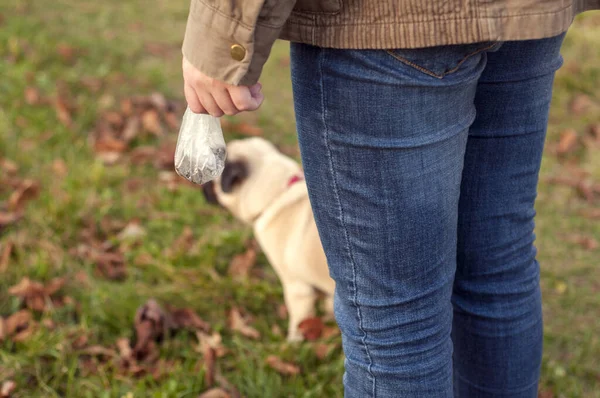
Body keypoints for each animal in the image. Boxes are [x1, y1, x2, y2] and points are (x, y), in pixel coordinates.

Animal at [203, 138, 336, 342]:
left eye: (210, 178)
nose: (202, 188)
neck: (277, 193)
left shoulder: (296, 287)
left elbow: (298, 318)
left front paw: (293, 341)